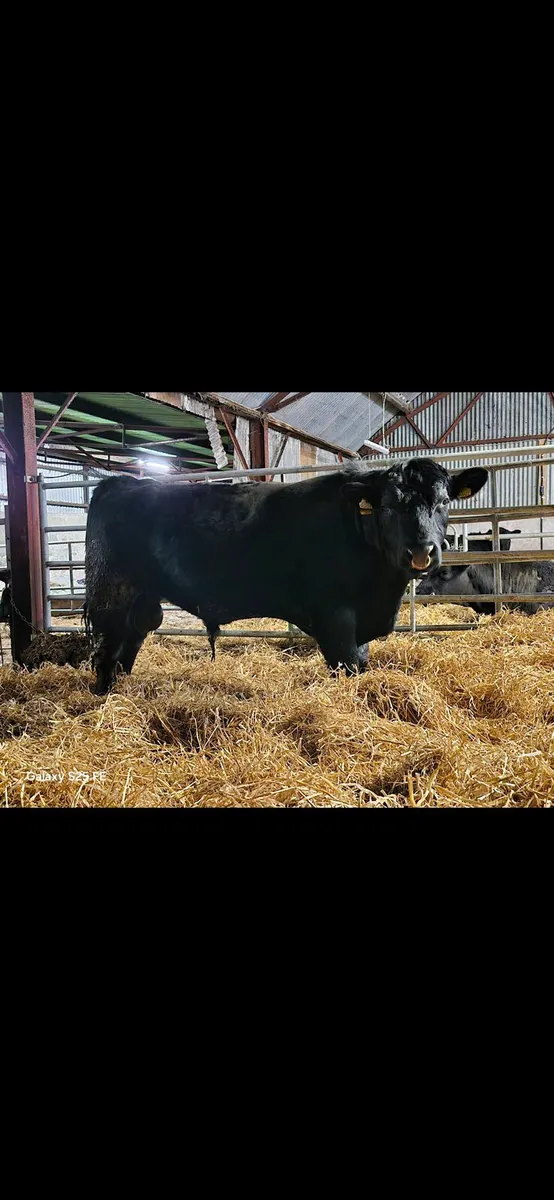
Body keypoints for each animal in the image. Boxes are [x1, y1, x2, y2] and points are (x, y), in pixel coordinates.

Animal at [84, 458, 489, 693]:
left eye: (445, 502)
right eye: (388, 505)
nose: (421, 552)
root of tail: (121, 483)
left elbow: (360, 663)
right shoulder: (335, 616)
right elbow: (347, 665)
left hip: (143, 601)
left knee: (131, 641)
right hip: (113, 594)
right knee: (108, 649)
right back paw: (105, 698)